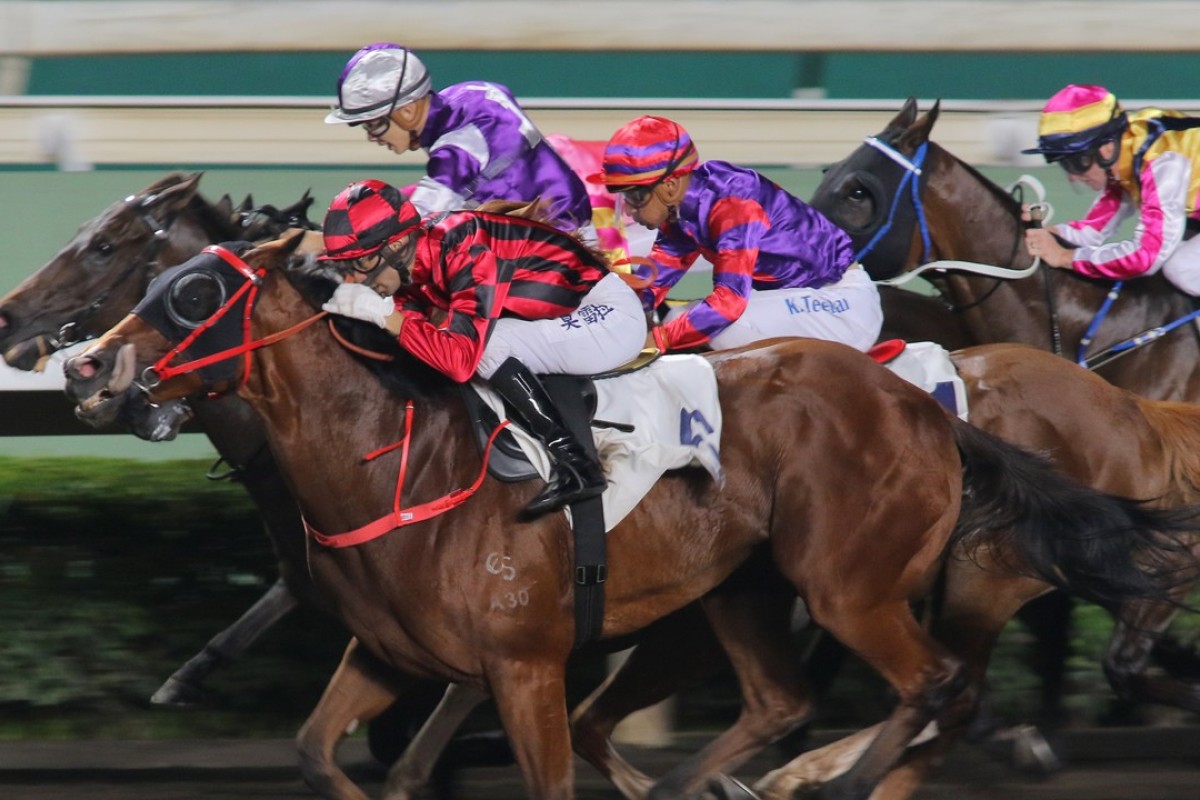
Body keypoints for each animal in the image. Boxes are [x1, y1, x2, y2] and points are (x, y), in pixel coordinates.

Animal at [58, 232, 1190, 800]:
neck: (394, 461)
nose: (83, 365)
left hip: (854, 584)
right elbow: (314, 751)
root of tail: (926, 407)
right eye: (144, 283)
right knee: (787, 697)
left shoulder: (523, 666)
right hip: (741, 590)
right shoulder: (390, 655)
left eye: (191, 293)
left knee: (937, 685)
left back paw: (827, 781)